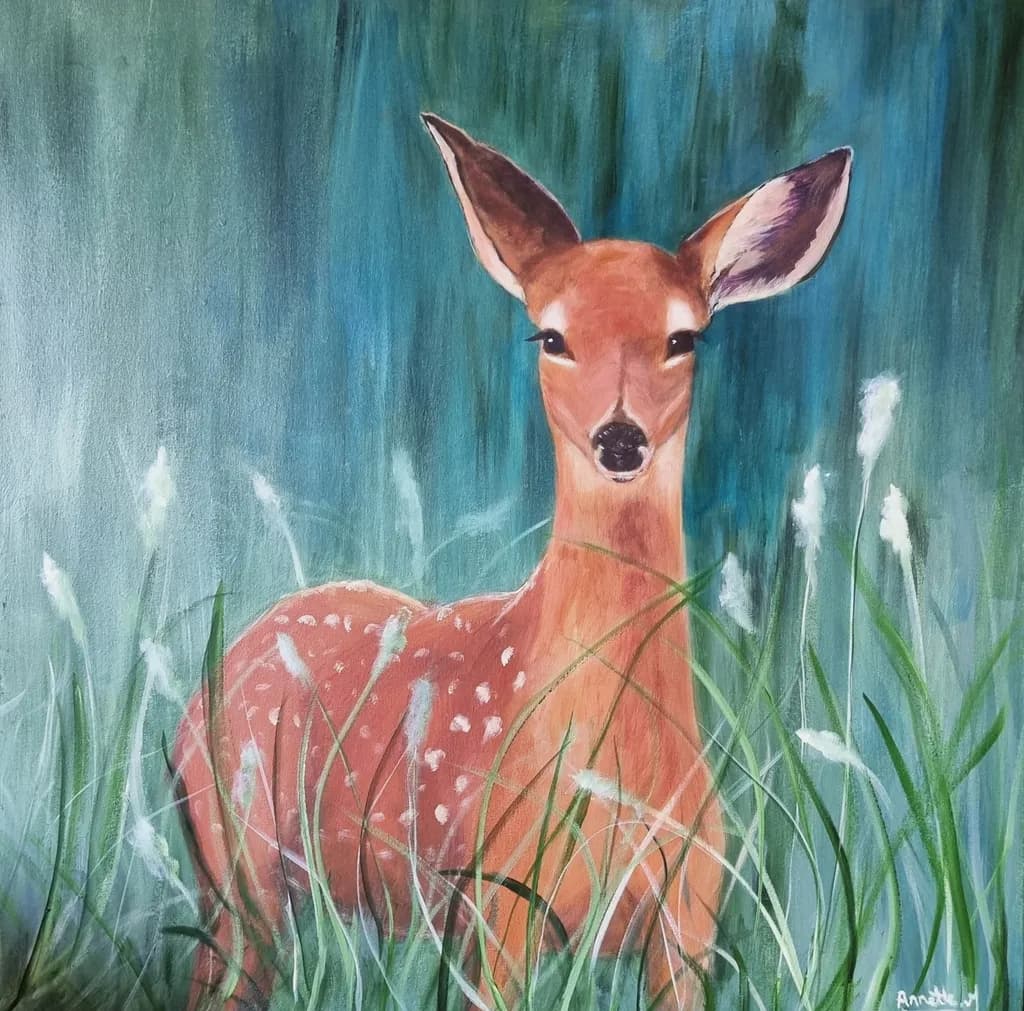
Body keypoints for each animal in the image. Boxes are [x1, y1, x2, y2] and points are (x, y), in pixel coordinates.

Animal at [173, 114, 852, 1010]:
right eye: (551, 335)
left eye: (684, 336)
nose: (620, 437)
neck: (615, 771)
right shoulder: (499, 902)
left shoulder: (690, 915)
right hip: (238, 862)